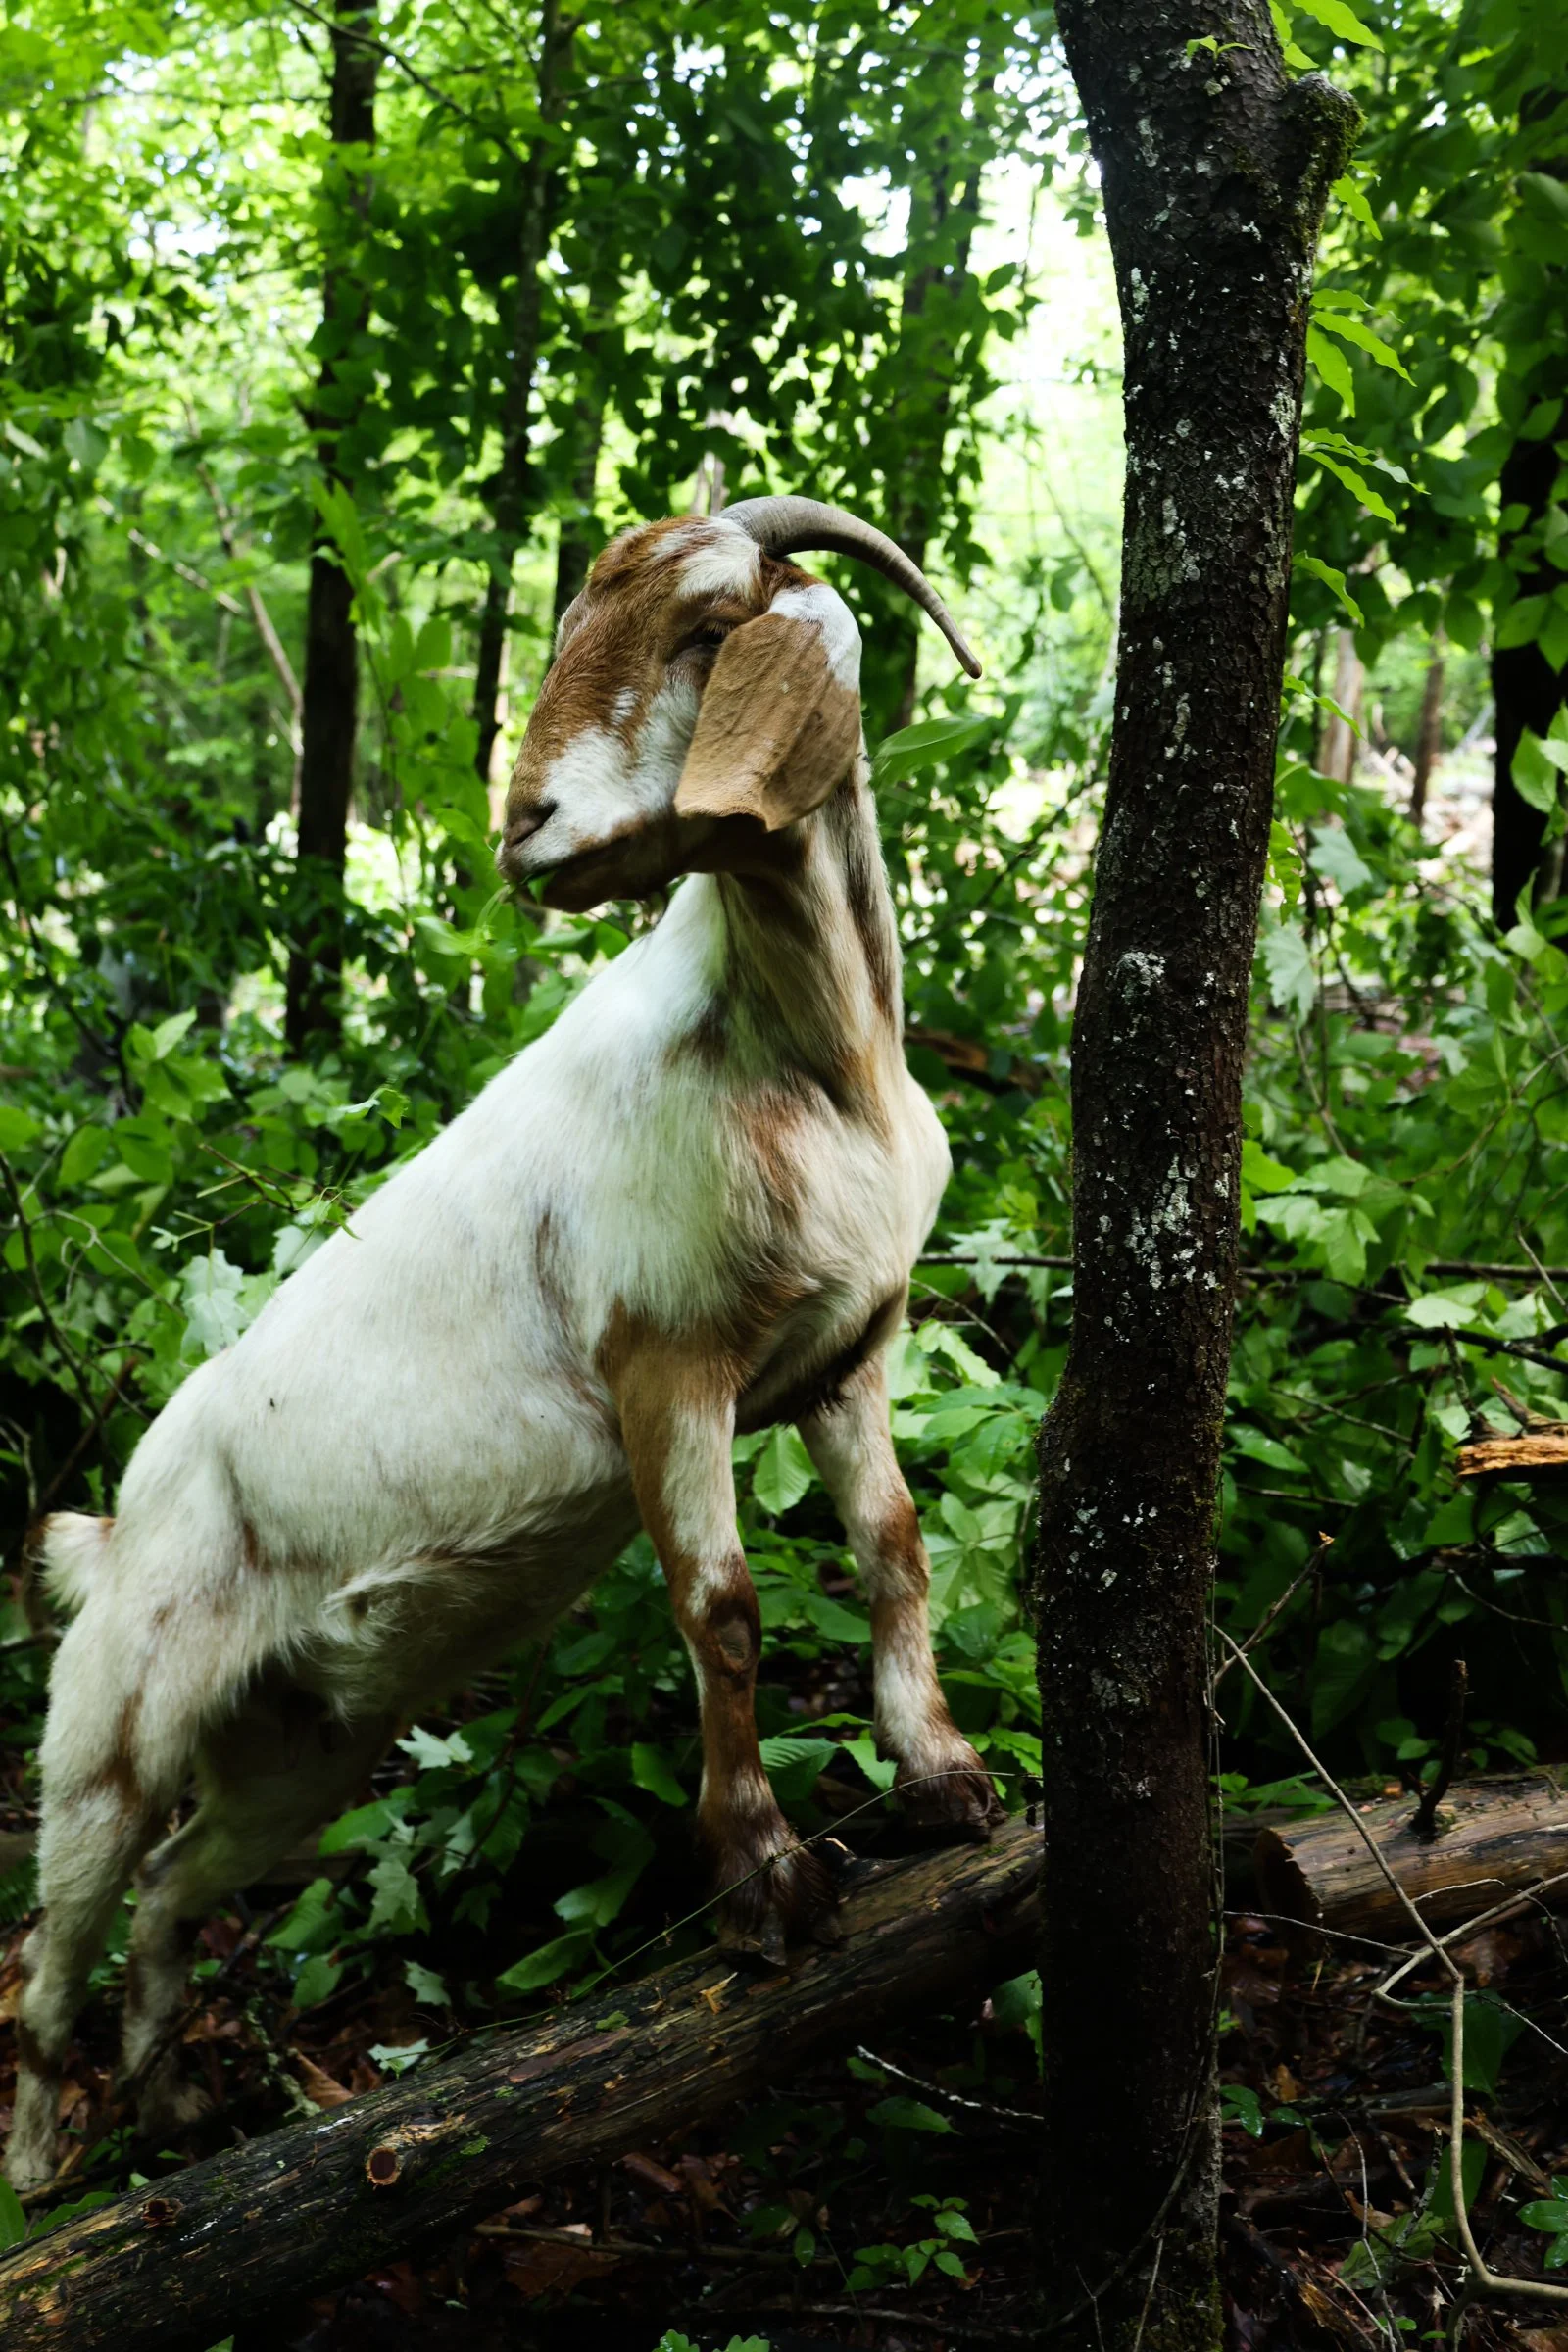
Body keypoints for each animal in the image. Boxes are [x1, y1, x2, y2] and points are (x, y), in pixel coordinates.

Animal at [5, 497, 1003, 2191]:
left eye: (708, 626)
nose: (526, 824)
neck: (822, 1063)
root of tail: (109, 1528)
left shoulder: (847, 1349)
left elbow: (894, 1545)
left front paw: (943, 1778)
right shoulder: (666, 1361)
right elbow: (723, 1608)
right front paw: (765, 1885)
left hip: (300, 1746)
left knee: (179, 1885)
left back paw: (180, 2110)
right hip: (109, 1728)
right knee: (50, 1943)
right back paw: (36, 2167)